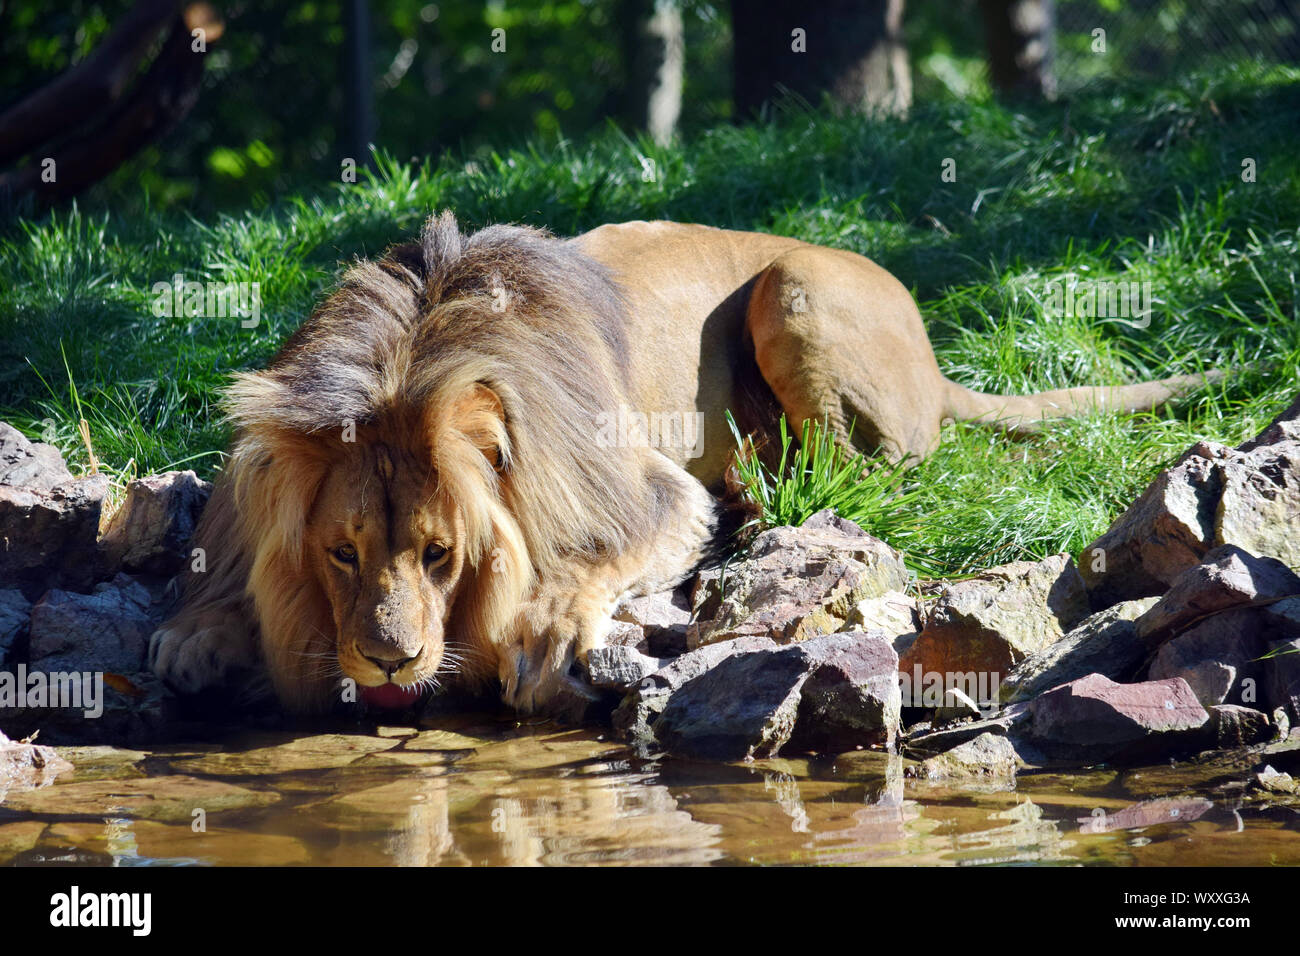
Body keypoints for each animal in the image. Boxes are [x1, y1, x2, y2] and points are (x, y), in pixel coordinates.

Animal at [147, 210, 1211, 717]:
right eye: (341, 553)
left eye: (442, 555)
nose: (390, 659)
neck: (414, 349)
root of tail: (936, 358)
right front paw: (199, 633)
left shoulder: (647, 487)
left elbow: (593, 555)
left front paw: (548, 627)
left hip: (793, 286)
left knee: (859, 474)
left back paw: (761, 500)